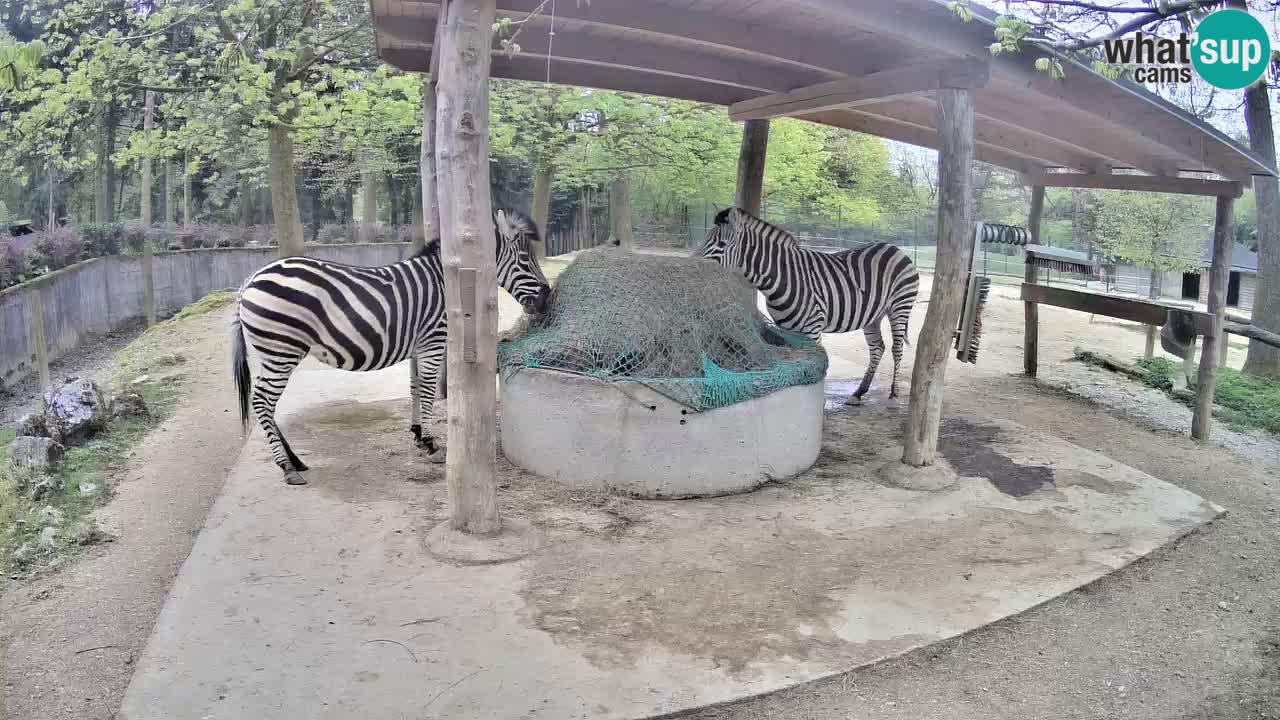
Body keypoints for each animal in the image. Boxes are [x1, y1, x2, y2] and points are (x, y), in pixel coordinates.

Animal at [231, 208, 550, 486]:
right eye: (525, 259)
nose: (547, 297)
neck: (447, 283)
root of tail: (249, 281)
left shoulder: (418, 346)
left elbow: (415, 386)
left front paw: (418, 434)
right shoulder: (433, 340)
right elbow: (427, 390)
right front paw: (431, 444)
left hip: (272, 352)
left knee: (265, 402)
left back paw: (294, 460)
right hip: (281, 349)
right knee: (262, 400)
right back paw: (287, 467)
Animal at [697, 207, 919, 402]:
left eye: (722, 244)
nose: (693, 267)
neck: (784, 278)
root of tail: (895, 249)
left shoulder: (812, 328)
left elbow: (818, 366)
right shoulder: (786, 329)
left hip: (900, 307)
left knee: (896, 348)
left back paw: (894, 393)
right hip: (873, 315)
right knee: (877, 348)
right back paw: (859, 393)